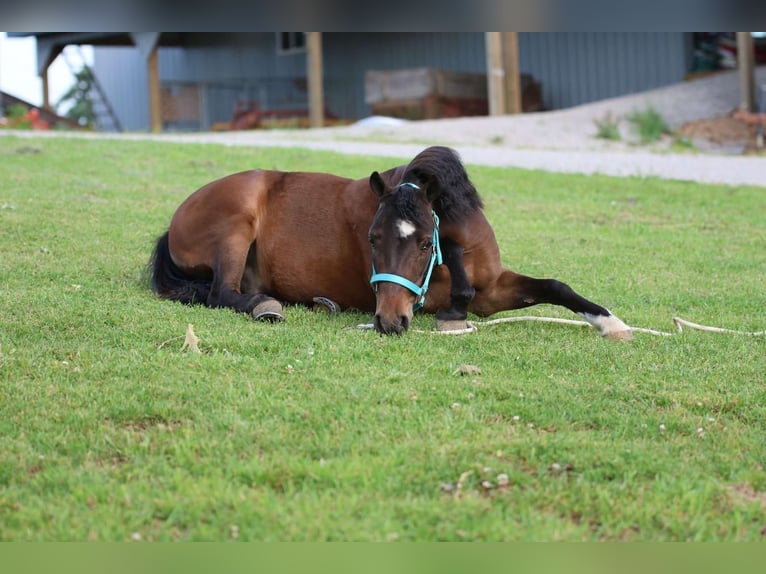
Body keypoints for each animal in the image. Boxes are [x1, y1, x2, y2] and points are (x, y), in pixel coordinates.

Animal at [147, 146, 632, 340]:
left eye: (424, 245)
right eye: (372, 239)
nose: (389, 321)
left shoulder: (494, 287)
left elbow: (554, 286)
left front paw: (610, 322)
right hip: (237, 224)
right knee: (220, 293)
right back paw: (265, 306)